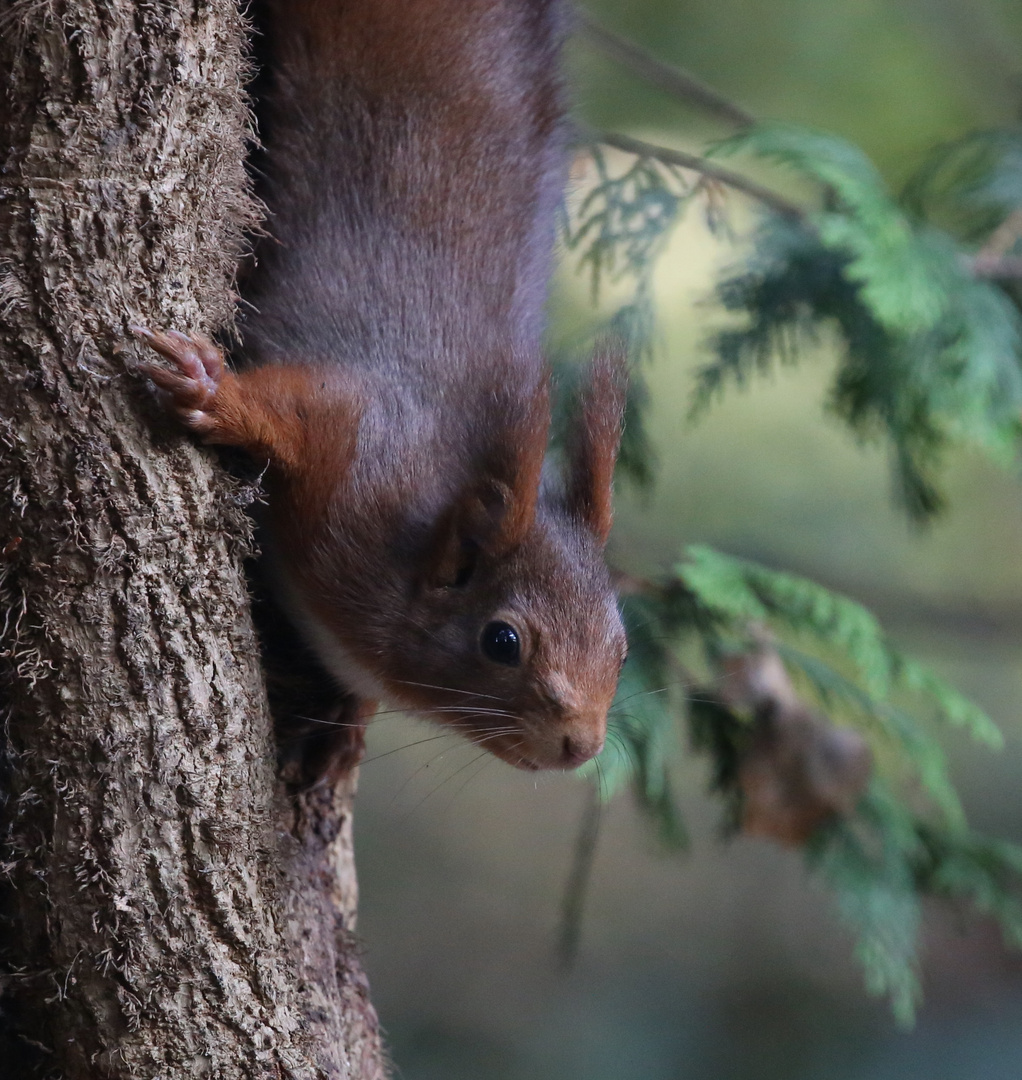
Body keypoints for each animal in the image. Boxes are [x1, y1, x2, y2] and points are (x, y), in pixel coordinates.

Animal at [131, 0, 626, 781]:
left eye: (621, 644)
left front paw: (346, 726)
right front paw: (212, 394)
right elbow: (295, 404)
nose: (581, 745)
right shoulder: (356, 443)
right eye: (502, 641)